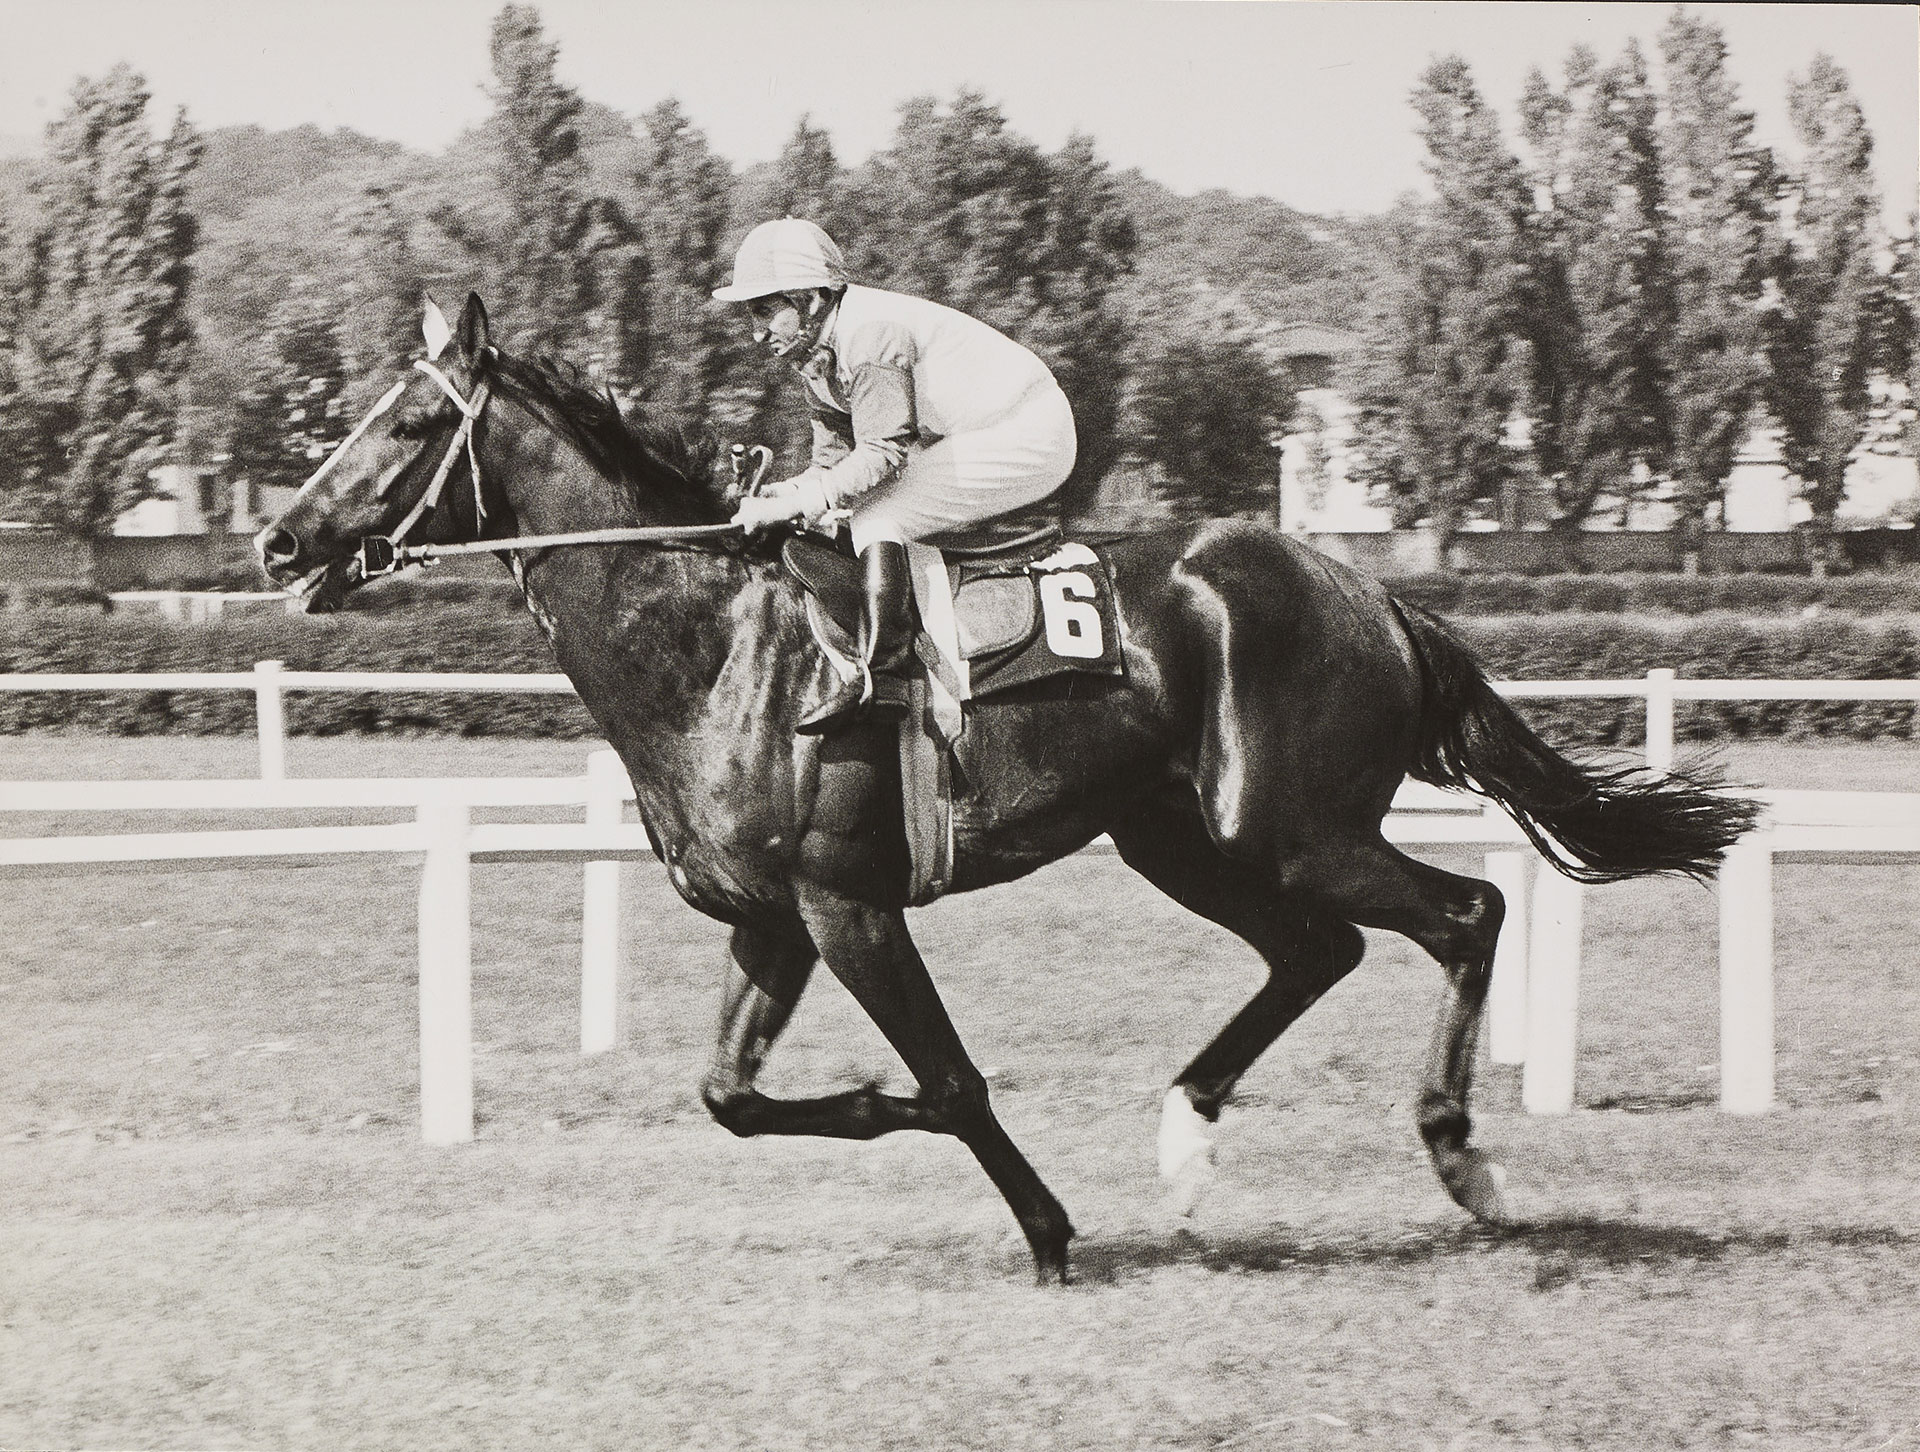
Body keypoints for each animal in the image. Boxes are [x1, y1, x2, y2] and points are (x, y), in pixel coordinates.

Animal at [251, 295, 1758, 1282]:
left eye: (403, 423)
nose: (277, 541)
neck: (717, 645)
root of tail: (1372, 591)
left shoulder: (848, 905)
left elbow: (955, 1081)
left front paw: (1039, 1225)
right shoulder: (774, 917)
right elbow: (730, 1094)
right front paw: (883, 1113)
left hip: (1288, 822)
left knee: (1462, 914)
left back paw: (1463, 1157)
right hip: (1183, 838)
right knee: (1317, 951)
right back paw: (1187, 1140)